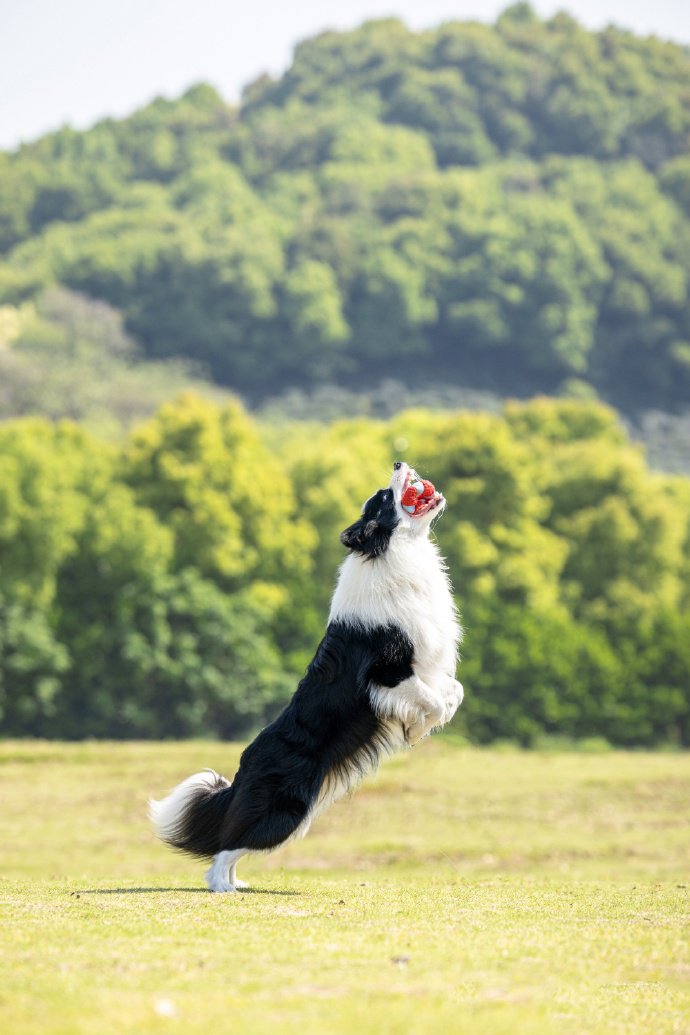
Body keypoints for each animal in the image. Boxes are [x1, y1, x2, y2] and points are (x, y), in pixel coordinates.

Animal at [150, 461, 463, 890]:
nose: (399, 463)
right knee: (227, 845)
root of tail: (245, 765)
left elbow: (453, 691)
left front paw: (431, 721)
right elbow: (430, 699)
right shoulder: (388, 673)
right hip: (287, 812)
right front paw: (415, 730)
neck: (389, 553)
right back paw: (221, 886)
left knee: (234, 842)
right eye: (384, 497)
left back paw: (237, 884)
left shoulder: (425, 668)